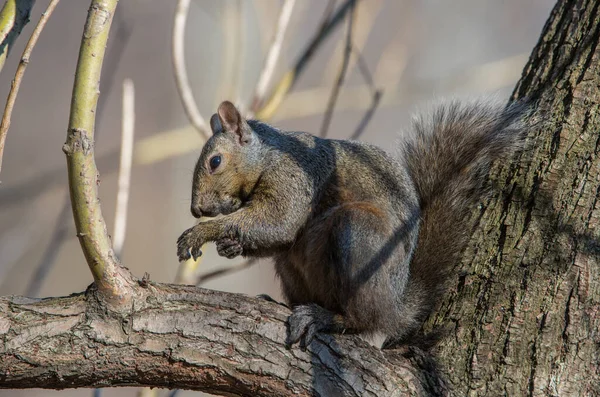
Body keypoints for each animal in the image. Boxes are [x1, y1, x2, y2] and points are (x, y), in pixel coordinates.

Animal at [176, 98, 528, 346]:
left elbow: (280, 220)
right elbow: (277, 236)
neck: (269, 158)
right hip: (293, 269)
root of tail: (395, 305)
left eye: (215, 161)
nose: (196, 209)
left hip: (358, 235)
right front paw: (229, 244)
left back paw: (327, 319)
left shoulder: (294, 179)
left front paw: (200, 232)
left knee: (365, 321)